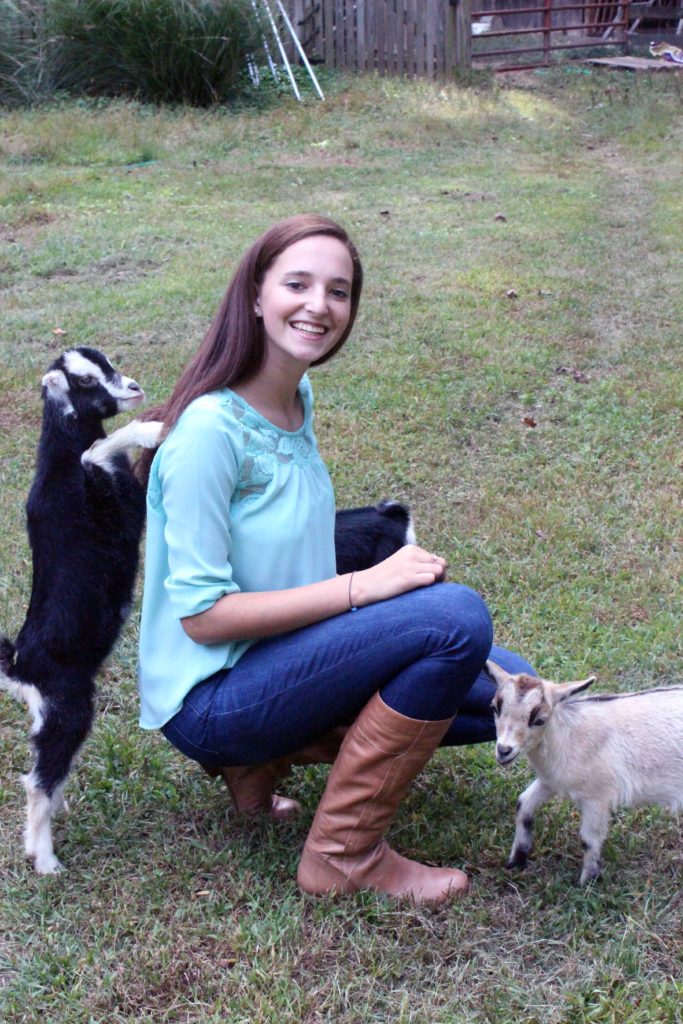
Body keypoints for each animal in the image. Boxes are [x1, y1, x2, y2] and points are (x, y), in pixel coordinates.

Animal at [0, 348, 162, 874]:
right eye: (87, 382)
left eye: (110, 364)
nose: (133, 389)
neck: (61, 461)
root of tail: (21, 668)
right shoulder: (112, 506)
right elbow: (98, 451)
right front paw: (151, 429)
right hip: (68, 711)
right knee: (37, 779)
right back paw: (45, 860)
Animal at [486, 660, 683, 885]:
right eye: (495, 707)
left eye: (540, 720)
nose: (504, 750)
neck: (569, 736)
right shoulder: (550, 781)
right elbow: (523, 805)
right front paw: (517, 859)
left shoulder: (596, 796)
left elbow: (588, 839)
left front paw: (587, 882)